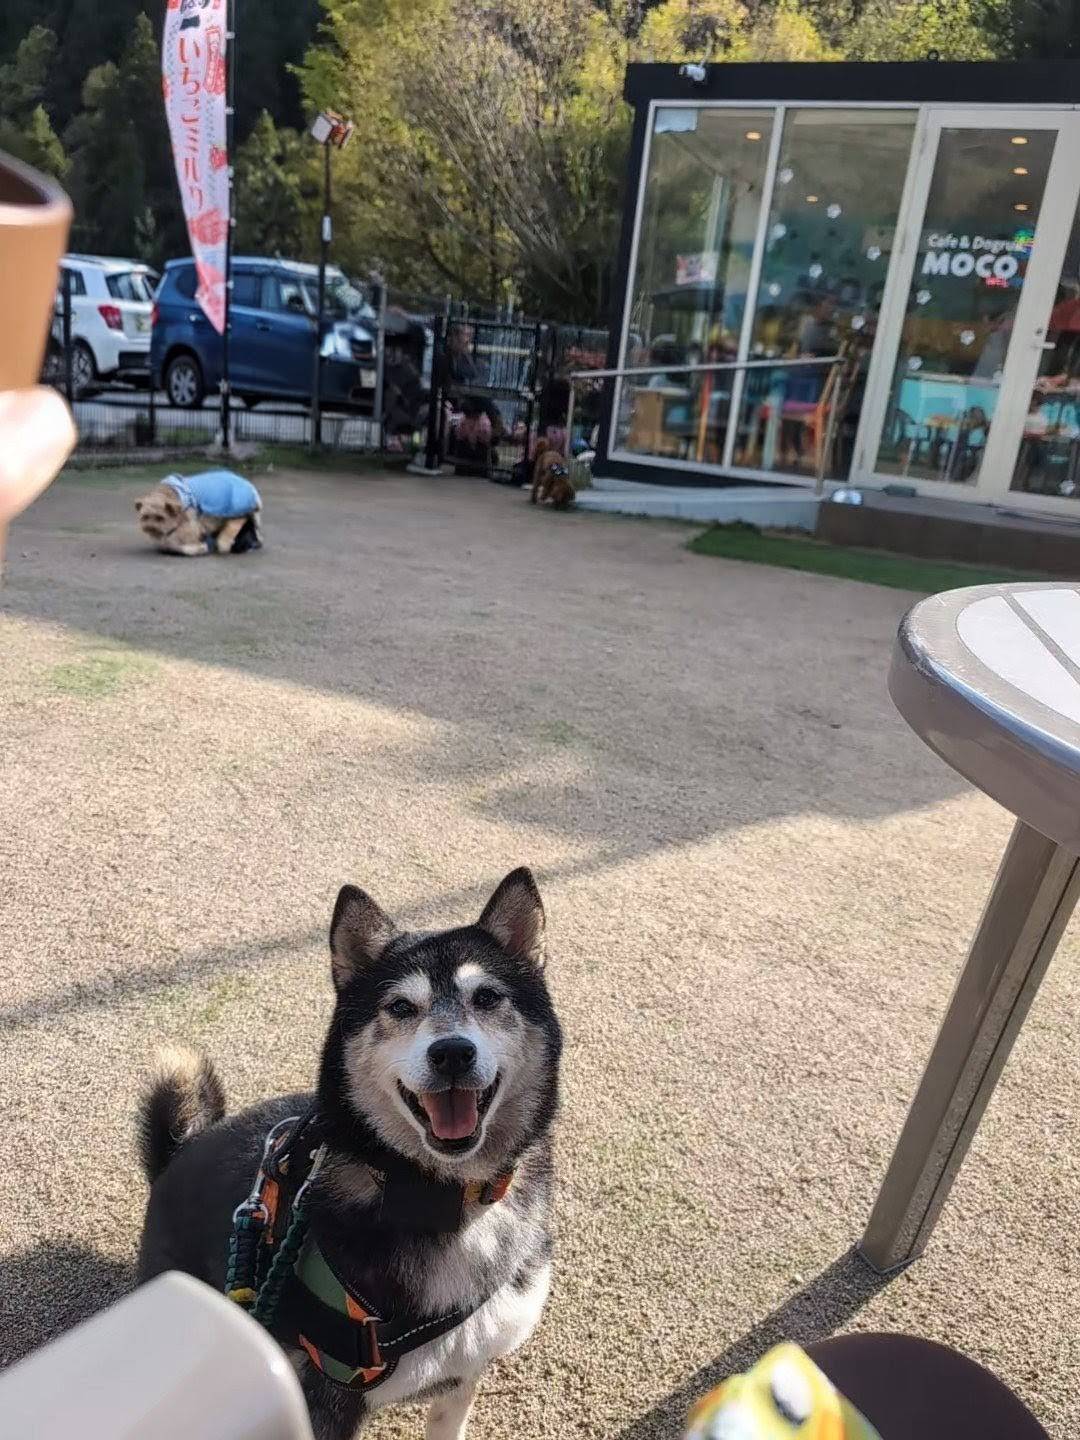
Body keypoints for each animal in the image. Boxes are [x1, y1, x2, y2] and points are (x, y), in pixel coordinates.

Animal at [137, 868, 562, 1440]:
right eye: (401, 1007)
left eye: (489, 997)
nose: (452, 1052)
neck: (441, 1197)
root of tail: (176, 1156)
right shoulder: (326, 1393)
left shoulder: (466, 1369)